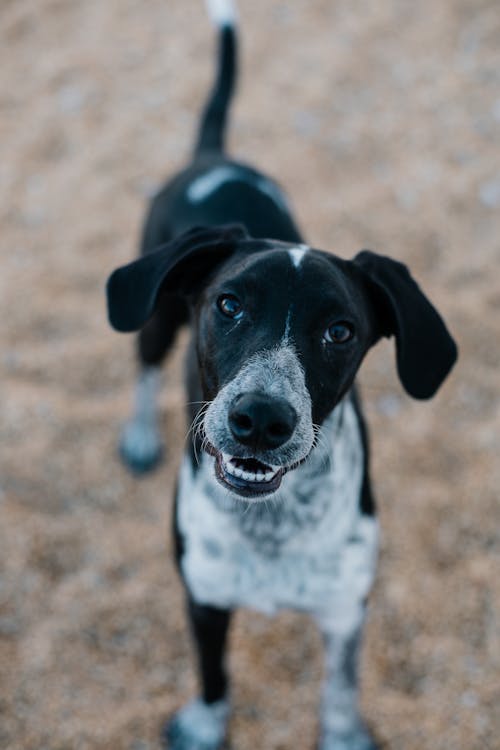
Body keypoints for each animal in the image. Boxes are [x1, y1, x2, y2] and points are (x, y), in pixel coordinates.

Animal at [105, 2, 458, 748]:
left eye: (340, 331)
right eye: (228, 304)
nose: (261, 419)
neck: (270, 525)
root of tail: (215, 158)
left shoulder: (346, 608)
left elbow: (341, 689)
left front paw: (345, 734)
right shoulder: (204, 597)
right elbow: (213, 676)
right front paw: (204, 726)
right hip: (153, 320)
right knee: (144, 369)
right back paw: (141, 435)